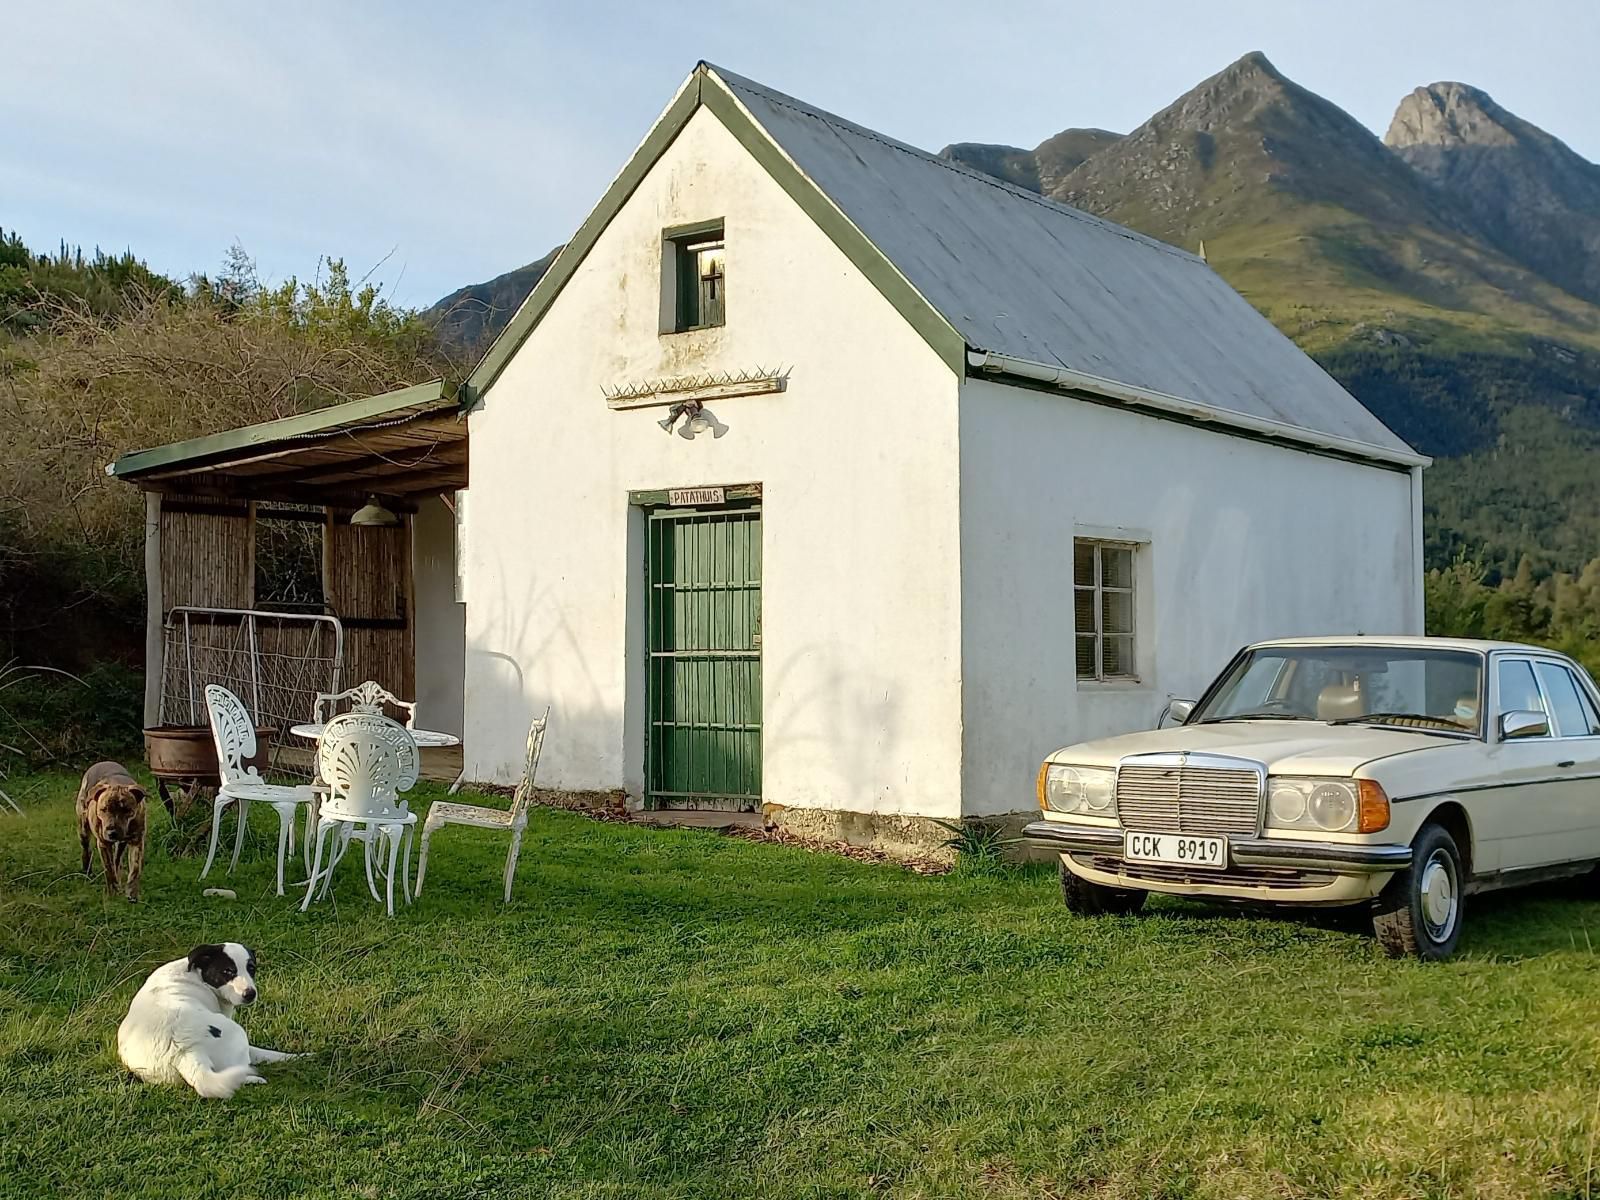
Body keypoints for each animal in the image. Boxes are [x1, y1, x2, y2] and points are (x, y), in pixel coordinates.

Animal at [75, 761, 147, 902]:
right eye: (103, 809)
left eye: (127, 810)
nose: (111, 831)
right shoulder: (103, 843)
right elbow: (108, 869)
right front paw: (113, 891)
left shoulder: (137, 841)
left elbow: (135, 868)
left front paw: (132, 892)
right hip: (83, 828)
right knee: (86, 849)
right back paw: (87, 870)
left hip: (121, 843)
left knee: (117, 858)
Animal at [116, 947, 304, 1107]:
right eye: (228, 971)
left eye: (251, 968)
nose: (250, 994)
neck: (198, 976)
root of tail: (185, 1050)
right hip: (238, 1035)